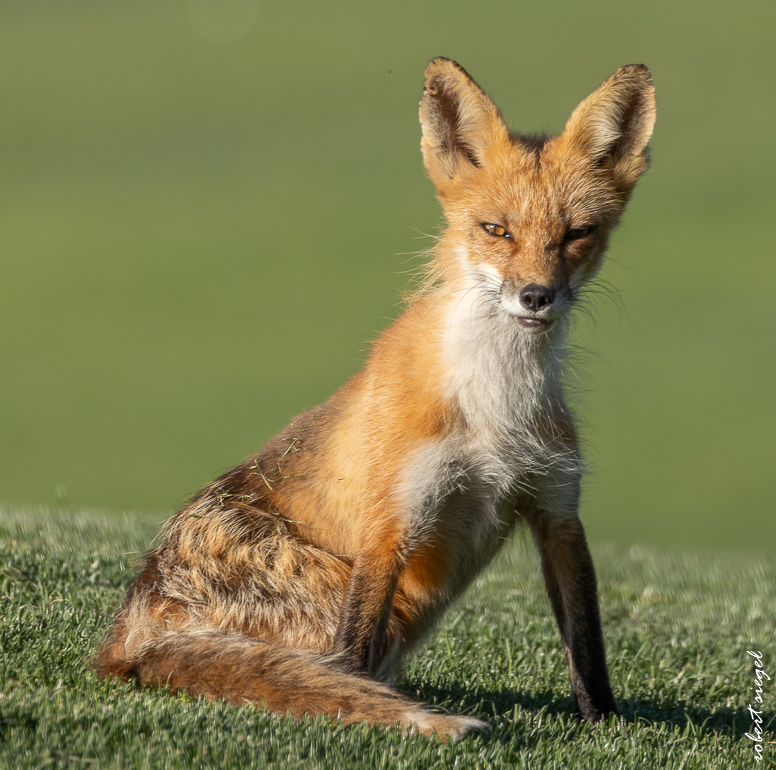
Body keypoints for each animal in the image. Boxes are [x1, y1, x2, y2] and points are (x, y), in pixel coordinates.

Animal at [95, 58, 656, 740]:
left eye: (577, 234)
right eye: (496, 230)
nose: (536, 296)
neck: (494, 404)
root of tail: (130, 627)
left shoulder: (556, 508)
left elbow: (589, 648)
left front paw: (605, 726)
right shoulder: (394, 520)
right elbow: (352, 659)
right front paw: (372, 712)